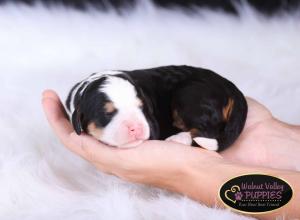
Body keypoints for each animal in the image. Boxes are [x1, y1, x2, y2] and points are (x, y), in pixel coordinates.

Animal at [65, 65, 248, 151]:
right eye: (107, 113)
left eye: (141, 108)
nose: (136, 127)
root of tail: (231, 87)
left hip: (189, 96)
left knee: (207, 132)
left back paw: (178, 139)